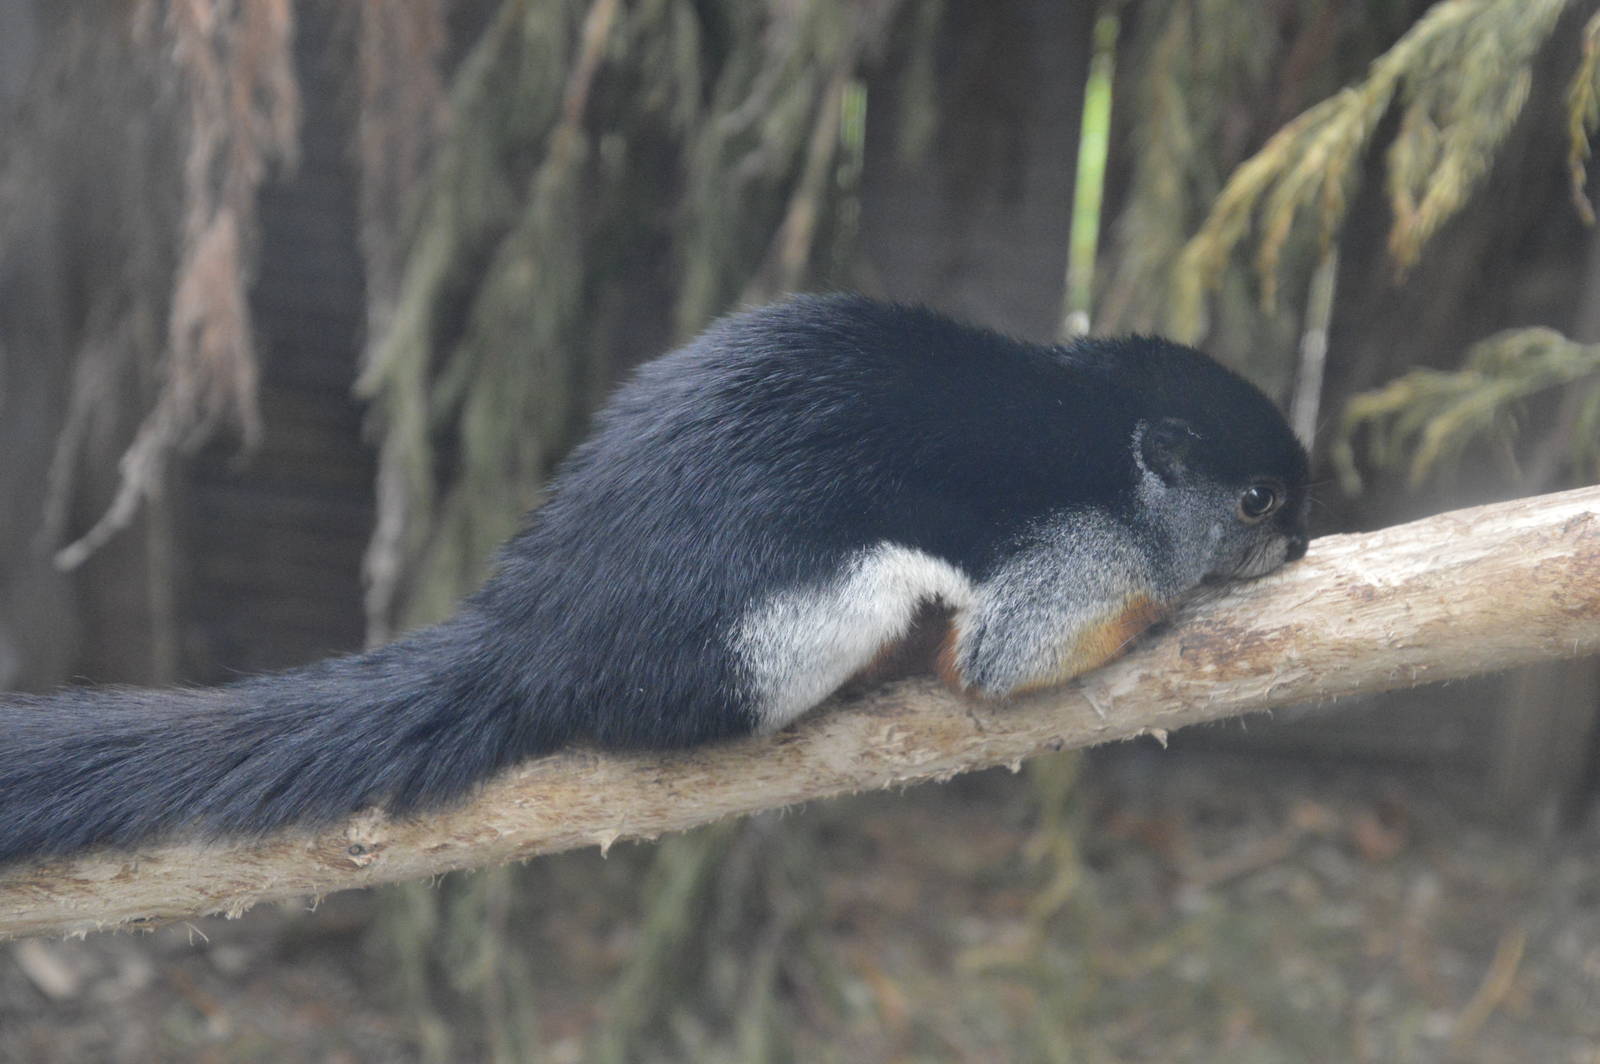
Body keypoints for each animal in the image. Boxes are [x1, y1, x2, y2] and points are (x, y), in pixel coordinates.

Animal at [0, 295, 1309, 863]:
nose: (1301, 546)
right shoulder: (1075, 554)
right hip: (792, 626)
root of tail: (535, 634)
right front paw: (1175, 614)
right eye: (1257, 501)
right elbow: (1009, 654)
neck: (1104, 431)